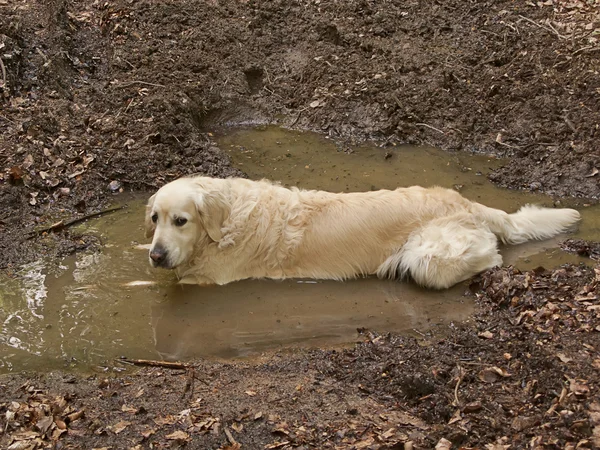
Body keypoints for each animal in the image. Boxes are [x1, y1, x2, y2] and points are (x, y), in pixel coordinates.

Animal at [145, 176, 580, 288]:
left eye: (181, 220)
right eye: (154, 219)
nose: (156, 255)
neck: (226, 220)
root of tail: (465, 202)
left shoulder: (210, 279)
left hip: (428, 257)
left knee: (487, 253)